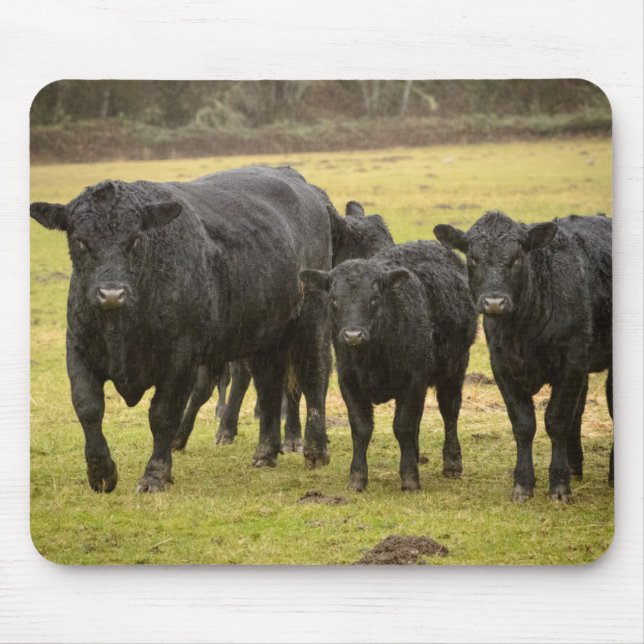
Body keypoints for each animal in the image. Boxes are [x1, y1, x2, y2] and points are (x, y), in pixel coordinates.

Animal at [30, 166, 333, 493]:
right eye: (79, 240)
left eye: (135, 239)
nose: (111, 294)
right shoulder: (78, 349)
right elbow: (88, 407)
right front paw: (101, 471)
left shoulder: (180, 360)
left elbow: (163, 415)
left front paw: (155, 475)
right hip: (263, 338)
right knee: (268, 386)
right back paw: (265, 452)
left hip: (310, 322)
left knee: (313, 376)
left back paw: (315, 450)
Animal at [299, 240, 477, 492]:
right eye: (333, 298)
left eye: (374, 297)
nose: (353, 335)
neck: (372, 358)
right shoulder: (349, 381)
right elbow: (361, 428)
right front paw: (357, 478)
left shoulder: (413, 380)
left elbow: (402, 426)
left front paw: (410, 479)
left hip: (455, 368)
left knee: (449, 411)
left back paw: (452, 463)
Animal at [434, 211, 612, 503]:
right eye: (472, 258)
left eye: (517, 257)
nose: (494, 302)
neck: (523, 328)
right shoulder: (502, 366)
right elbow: (523, 424)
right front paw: (523, 484)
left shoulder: (571, 362)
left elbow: (556, 421)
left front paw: (559, 486)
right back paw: (575, 465)